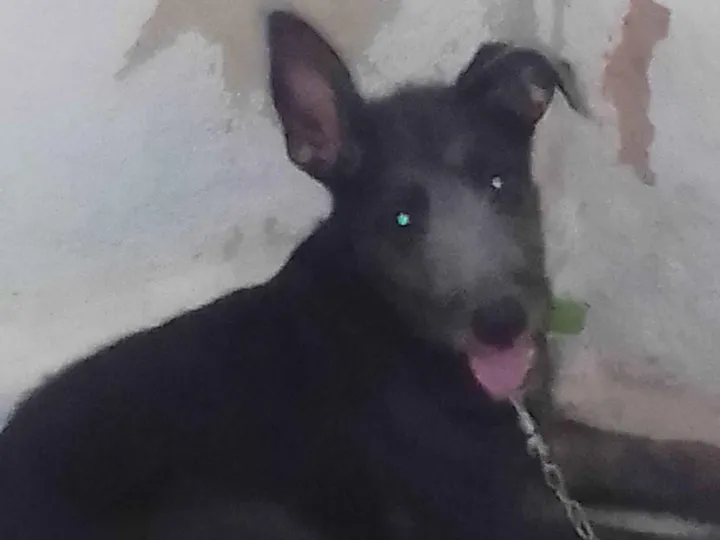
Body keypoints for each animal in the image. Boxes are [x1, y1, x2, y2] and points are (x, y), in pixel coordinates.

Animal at [1, 9, 719, 540]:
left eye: (499, 183)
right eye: (399, 219)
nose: (501, 325)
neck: (396, 331)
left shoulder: (533, 439)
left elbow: (646, 454)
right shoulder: (491, 513)